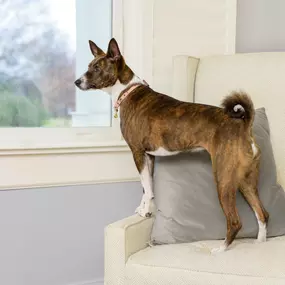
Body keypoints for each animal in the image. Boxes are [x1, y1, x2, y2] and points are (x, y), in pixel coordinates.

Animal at [74, 38, 268, 253]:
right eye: (89, 66)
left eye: (97, 68)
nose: (77, 82)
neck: (127, 91)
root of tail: (244, 124)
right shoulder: (148, 156)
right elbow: (147, 189)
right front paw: (144, 210)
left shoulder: (137, 153)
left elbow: (146, 187)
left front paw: (144, 211)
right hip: (246, 180)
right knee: (262, 213)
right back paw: (260, 242)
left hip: (224, 178)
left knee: (235, 221)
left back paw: (221, 249)